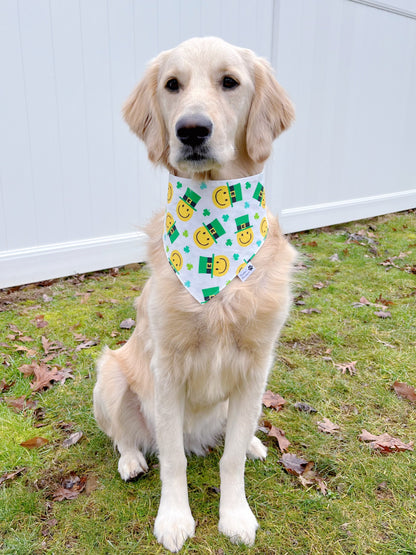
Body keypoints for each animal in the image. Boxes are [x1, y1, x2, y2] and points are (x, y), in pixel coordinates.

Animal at [94, 37, 296, 552]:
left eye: (230, 81)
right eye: (172, 85)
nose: (191, 130)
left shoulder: (256, 365)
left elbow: (231, 459)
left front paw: (236, 515)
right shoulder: (167, 368)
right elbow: (173, 460)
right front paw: (174, 519)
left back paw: (254, 442)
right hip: (110, 376)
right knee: (124, 437)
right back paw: (130, 459)